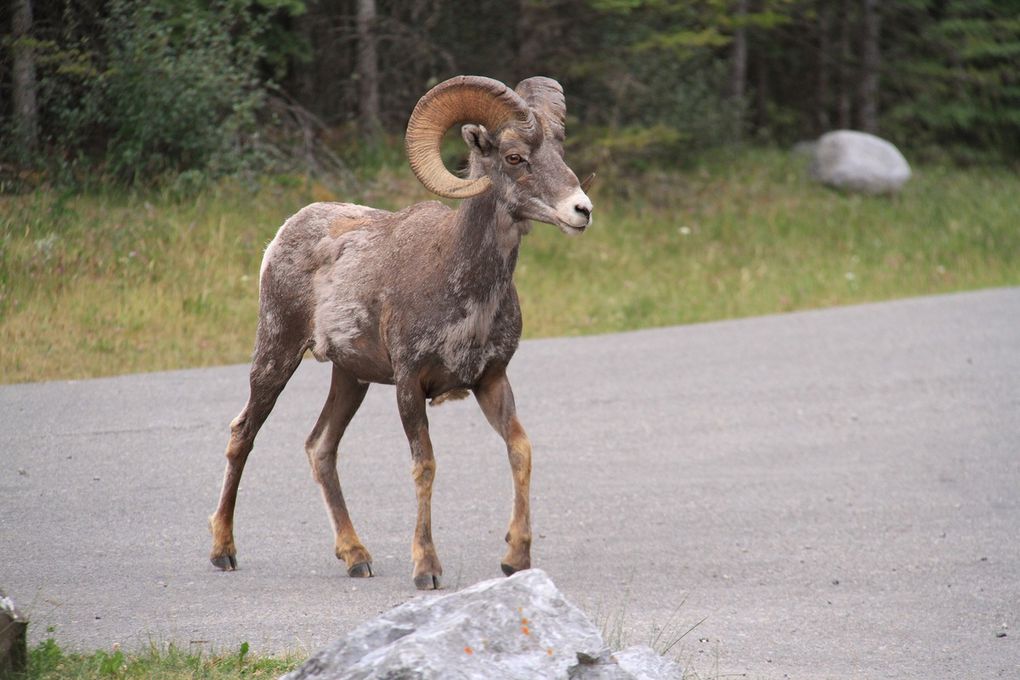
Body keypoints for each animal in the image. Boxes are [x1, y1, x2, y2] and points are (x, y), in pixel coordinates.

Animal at [209, 74, 591, 591]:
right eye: (514, 157)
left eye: (559, 150)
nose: (581, 210)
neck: (463, 290)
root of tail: (284, 233)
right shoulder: (410, 385)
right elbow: (424, 465)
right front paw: (426, 569)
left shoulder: (491, 381)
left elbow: (520, 450)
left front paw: (516, 559)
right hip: (276, 354)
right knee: (244, 433)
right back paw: (223, 551)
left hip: (350, 379)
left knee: (321, 447)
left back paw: (356, 557)